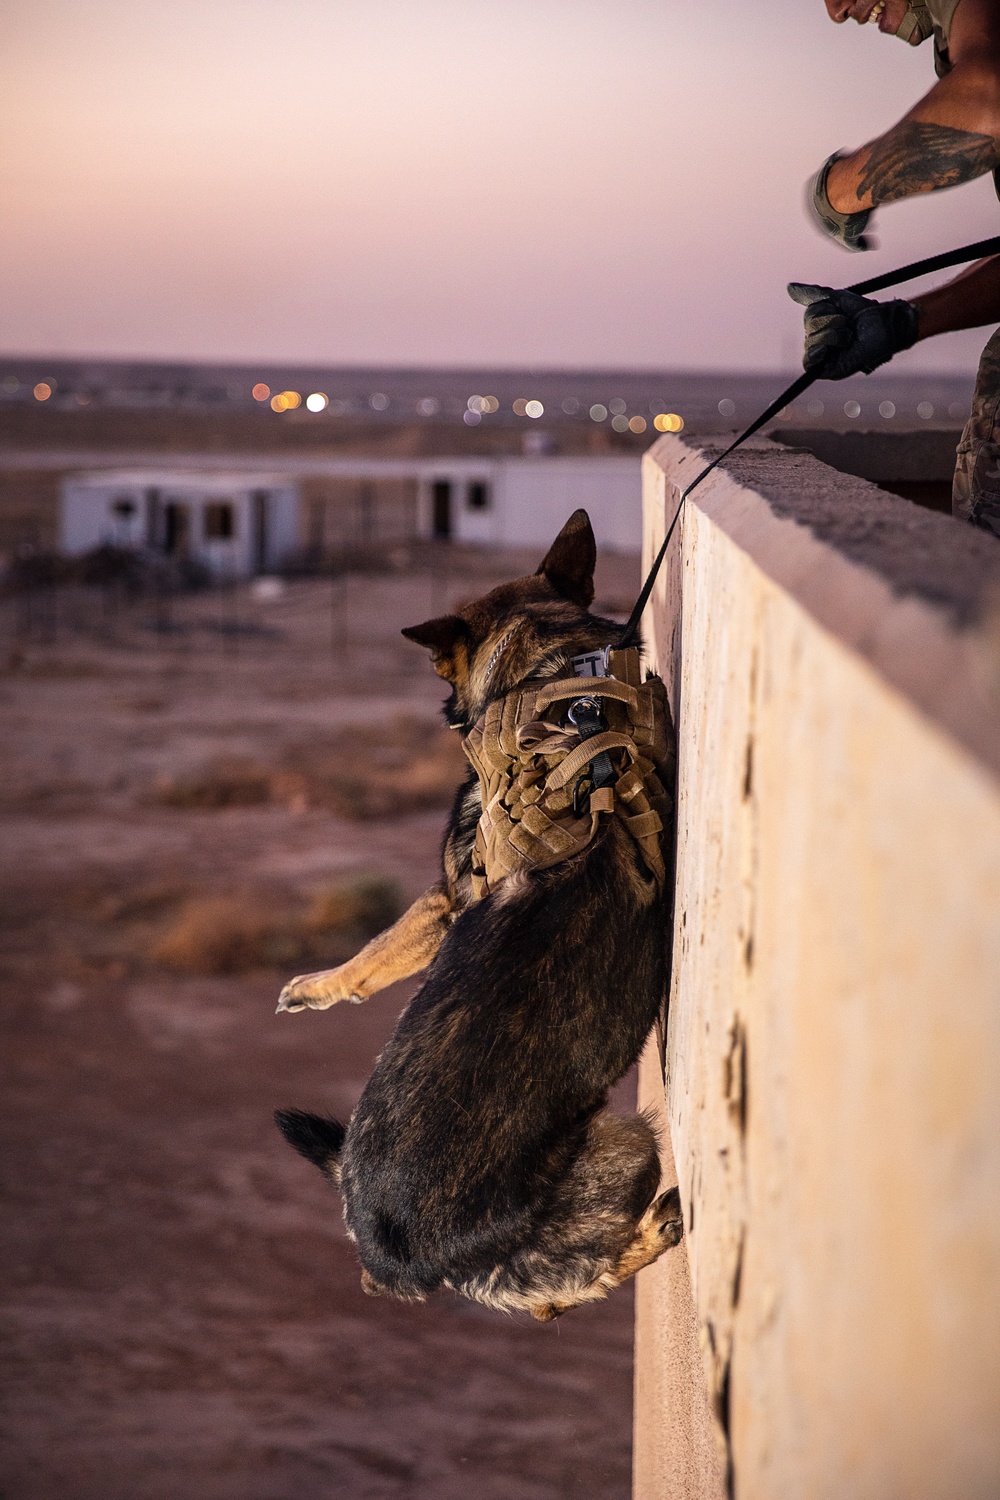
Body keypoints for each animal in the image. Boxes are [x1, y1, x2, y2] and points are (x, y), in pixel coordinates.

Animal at [275, 510, 680, 1320]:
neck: (553, 681)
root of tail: (398, 1256)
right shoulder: (453, 895)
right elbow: (378, 951)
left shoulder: (445, 895)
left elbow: (380, 946)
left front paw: (313, 987)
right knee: (561, 1293)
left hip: (616, 1153)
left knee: (574, 1285)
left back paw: (656, 1229)